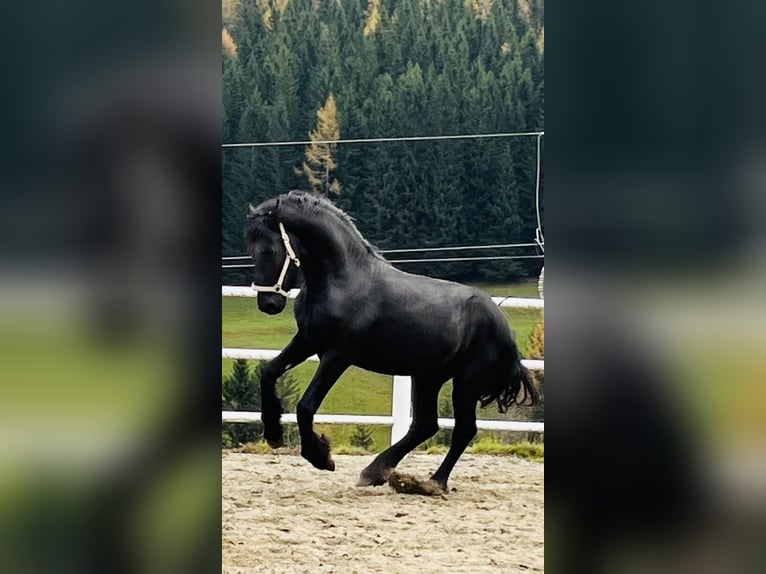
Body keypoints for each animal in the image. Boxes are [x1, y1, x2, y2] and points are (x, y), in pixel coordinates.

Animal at [246, 192, 540, 490]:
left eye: (269, 250)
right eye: (251, 249)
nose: (268, 304)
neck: (343, 281)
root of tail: (504, 326)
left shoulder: (337, 355)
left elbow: (305, 406)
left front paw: (321, 457)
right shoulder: (307, 341)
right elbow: (268, 372)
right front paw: (273, 432)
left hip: (466, 383)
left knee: (463, 429)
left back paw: (434, 482)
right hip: (428, 377)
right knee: (425, 425)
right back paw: (376, 471)